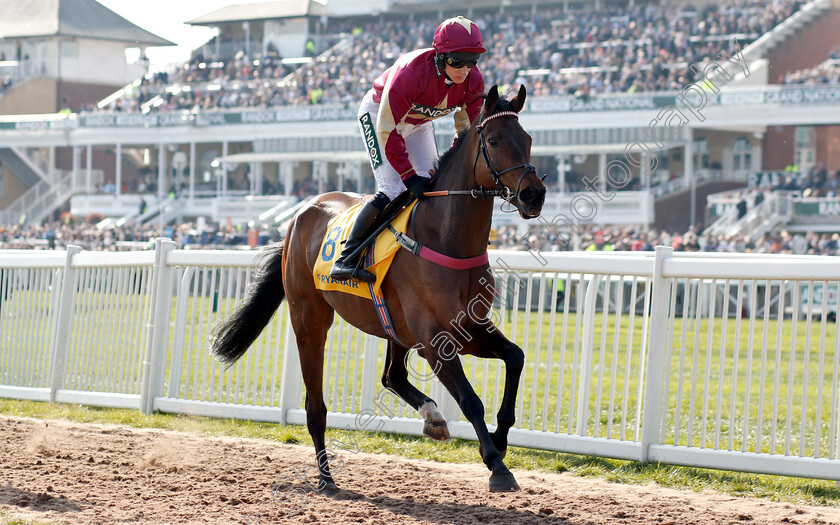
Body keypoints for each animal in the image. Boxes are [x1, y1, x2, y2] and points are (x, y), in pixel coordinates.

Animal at [213, 85, 548, 492]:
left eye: (527, 140)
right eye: (495, 140)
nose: (533, 195)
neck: (445, 238)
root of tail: (299, 215)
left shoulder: (468, 328)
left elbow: (515, 356)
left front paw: (499, 438)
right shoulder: (436, 339)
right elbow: (470, 400)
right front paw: (497, 466)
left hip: (396, 329)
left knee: (392, 376)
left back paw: (432, 417)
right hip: (309, 319)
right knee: (315, 406)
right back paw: (326, 478)